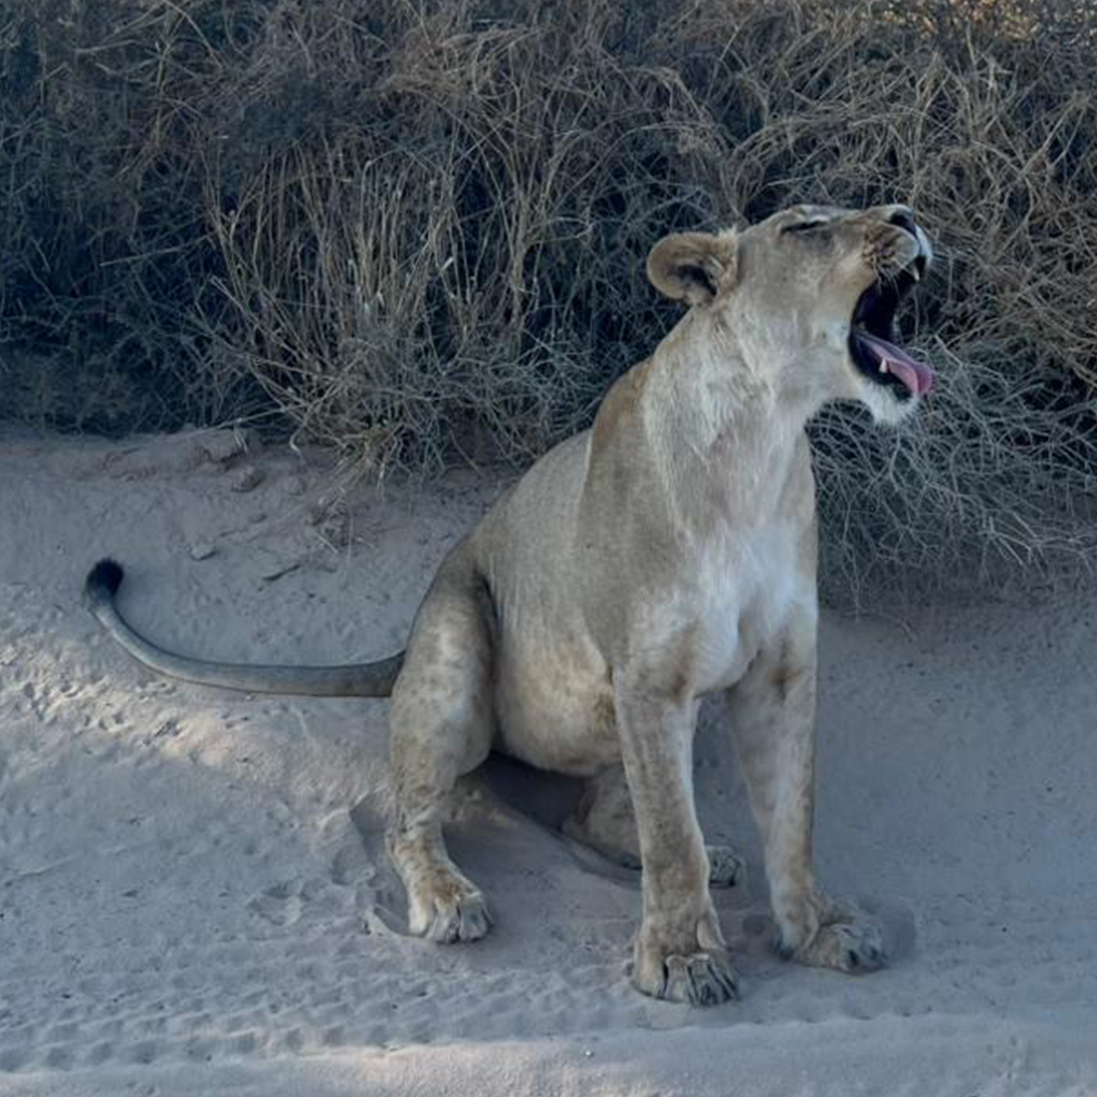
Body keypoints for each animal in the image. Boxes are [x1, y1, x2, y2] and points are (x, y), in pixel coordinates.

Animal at [86, 202, 934, 1006]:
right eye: (805, 227)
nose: (909, 218)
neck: (761, 440)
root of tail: (403, 646)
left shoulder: (778, 671)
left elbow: (790, 817)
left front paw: (818, 929)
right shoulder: (650, 676)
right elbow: (671, 838)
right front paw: (680, 958)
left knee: (586, 816)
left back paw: (709, 854)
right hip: (458, 643)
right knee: (407, 822)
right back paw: (448, 899)